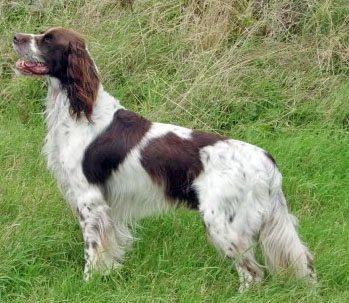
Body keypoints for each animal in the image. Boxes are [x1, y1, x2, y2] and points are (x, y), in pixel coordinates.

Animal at [12, 27, 316, 292]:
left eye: (47, 40)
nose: (15, 36)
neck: (79, 111)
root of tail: (266, 161)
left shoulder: (90, 200)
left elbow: (93, 250)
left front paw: (87, 284)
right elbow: (109, 251)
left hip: (223, 224)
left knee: (253, 273)